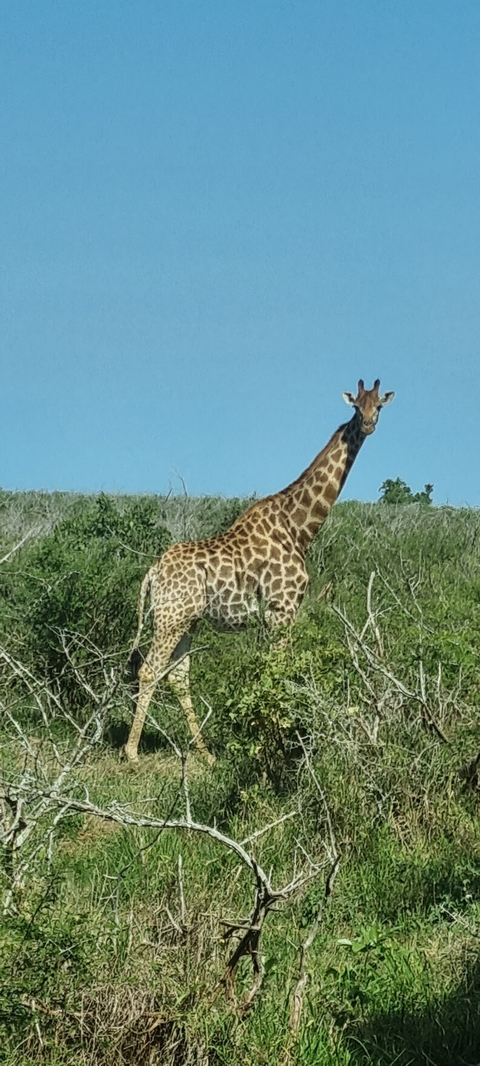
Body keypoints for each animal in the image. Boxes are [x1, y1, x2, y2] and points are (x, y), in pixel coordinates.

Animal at [124, 379, 394, 764]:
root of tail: (153, 571)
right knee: (149, 670)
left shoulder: (271, 617)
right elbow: (279, 672)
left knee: (177, 676)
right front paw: (279, 743)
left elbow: (269, 672)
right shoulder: (282, 609)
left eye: (379, 406)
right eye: (357, 406)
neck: (299, 528)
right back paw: (132, 750)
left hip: (187, 621)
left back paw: (206, 754)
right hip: (170, 618)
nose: (369, 424)